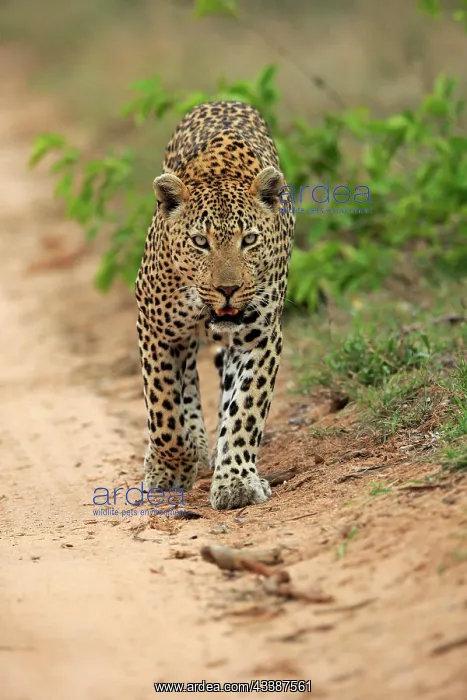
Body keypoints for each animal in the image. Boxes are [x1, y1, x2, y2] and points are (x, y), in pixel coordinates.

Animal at [135, 100, 295, 510]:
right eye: (199, 242)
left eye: (249, 240)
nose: (227, 289)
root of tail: (224, 101)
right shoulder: (155, 329)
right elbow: (164, 410)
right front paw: (172, 468)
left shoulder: (260, 337)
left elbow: (246, 410)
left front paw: (235, 481)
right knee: (187, 382)